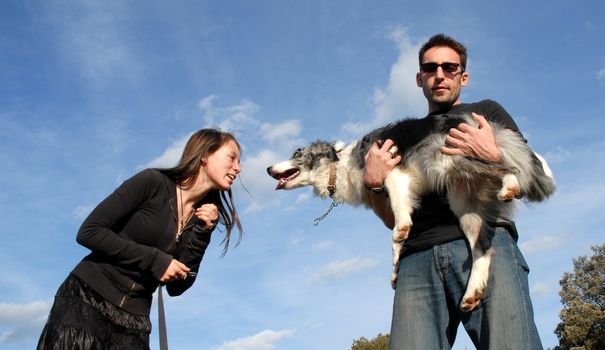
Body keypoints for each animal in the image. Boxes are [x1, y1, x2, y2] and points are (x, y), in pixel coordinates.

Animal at [266, 114, 556, 312]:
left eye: (297, 153)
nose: (268, 169)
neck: (342, 164)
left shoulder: (394, 173)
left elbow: (400, 219)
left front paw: (402, 229)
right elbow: (397, 245)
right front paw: (395, 269)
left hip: (453, 160)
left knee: (507, 165)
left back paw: (510, 185)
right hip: (464, 205)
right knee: (484, 249)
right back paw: (471, 294)